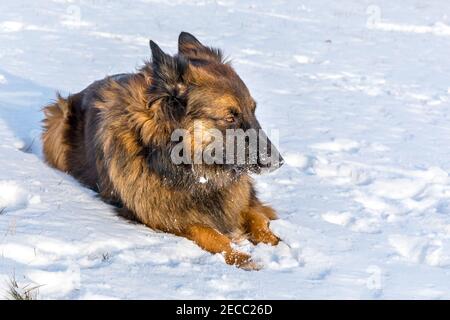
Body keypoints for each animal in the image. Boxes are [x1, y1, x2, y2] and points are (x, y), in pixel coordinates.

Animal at [42, 31, 284, 270]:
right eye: (230, 117)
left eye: (253, 110)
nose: (279, 162)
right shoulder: (161, 216)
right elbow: (208, 232)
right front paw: (240, 257)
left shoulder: (243, 198)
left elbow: (257, 219)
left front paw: (280, 246)